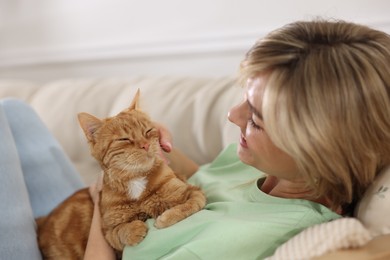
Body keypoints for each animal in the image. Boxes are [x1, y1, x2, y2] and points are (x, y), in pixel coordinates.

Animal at [37, 90, 207, 258]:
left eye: (148, 131)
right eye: (124, 139)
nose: (145, 145)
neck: (136, 180)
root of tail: (43, 221)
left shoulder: (193, 192)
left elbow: (190, 205)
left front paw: (166, 217)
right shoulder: (108, 233)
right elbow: (119, 231)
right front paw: (134, 229)